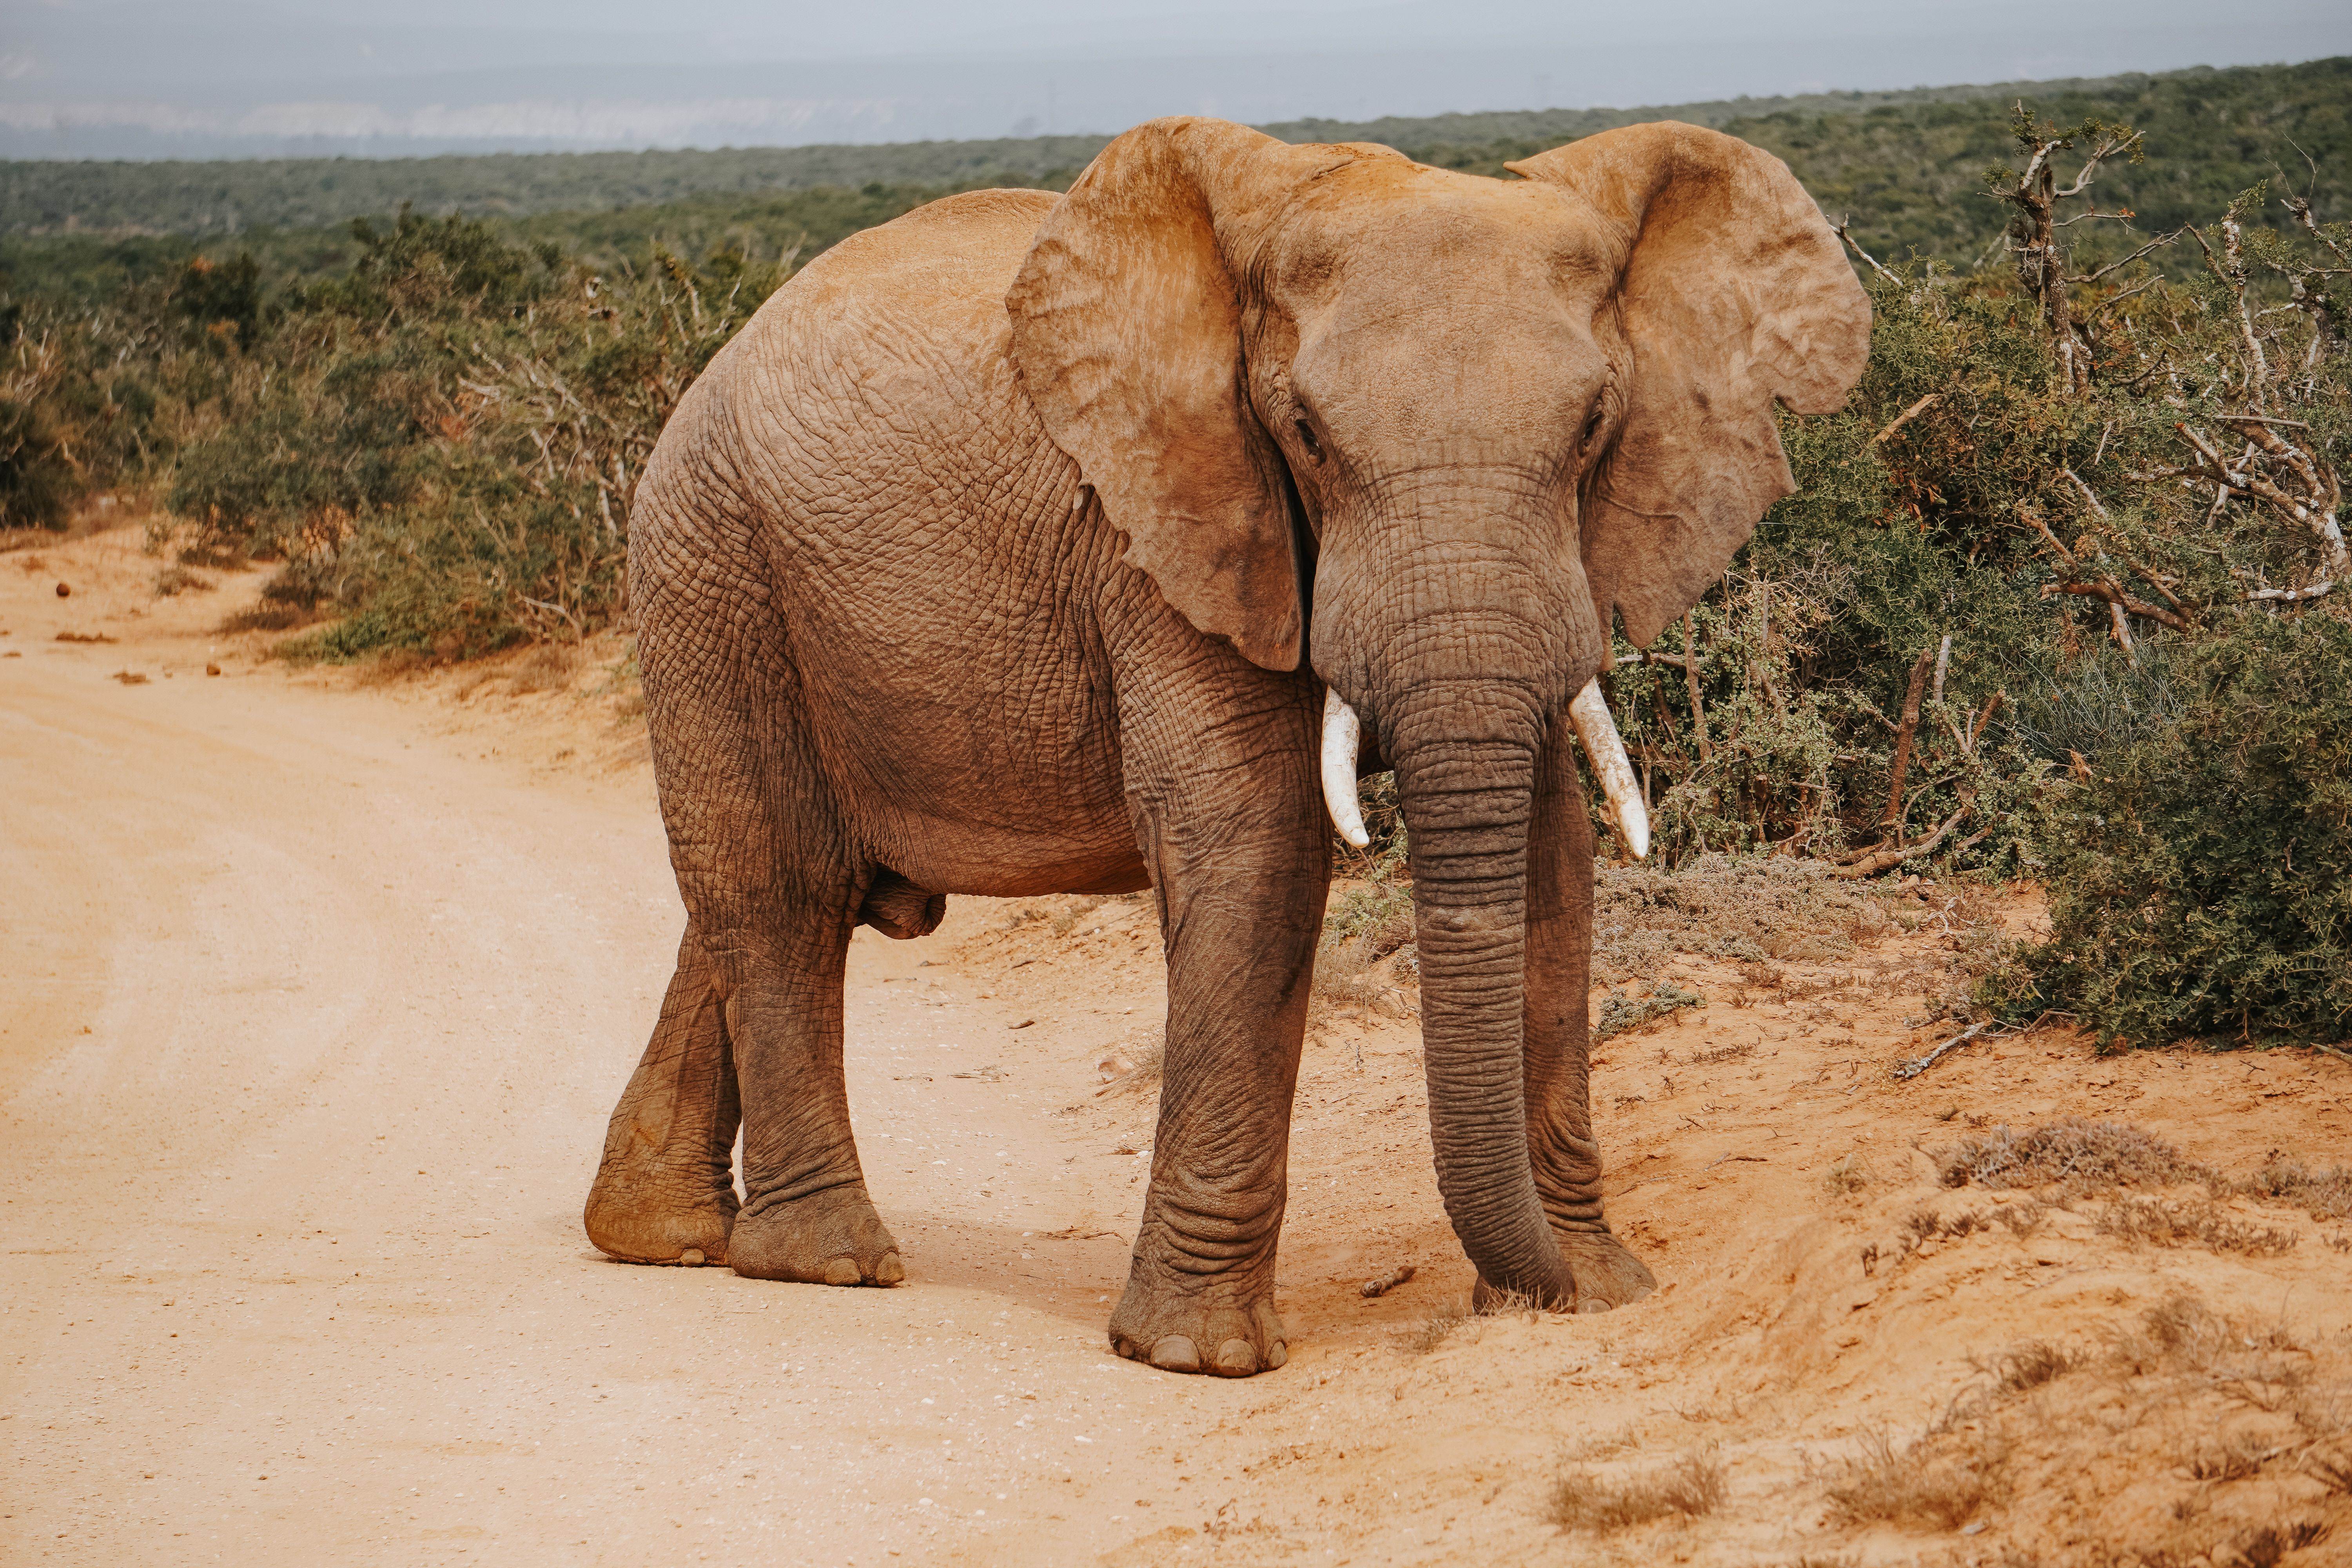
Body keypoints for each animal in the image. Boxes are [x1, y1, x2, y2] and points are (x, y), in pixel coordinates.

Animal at [582, 114, 1870, 1377]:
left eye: (1595, 426)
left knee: (778, 894)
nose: (1533, 1289)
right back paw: (827, 1261)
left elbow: (1553, 848)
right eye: (1304, 433)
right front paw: (1195, 1355)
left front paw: (1597, 1291)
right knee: (779, 886)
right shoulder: (1168, 524)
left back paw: (658, 1235)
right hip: (708, 558)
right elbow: (1256, 837)